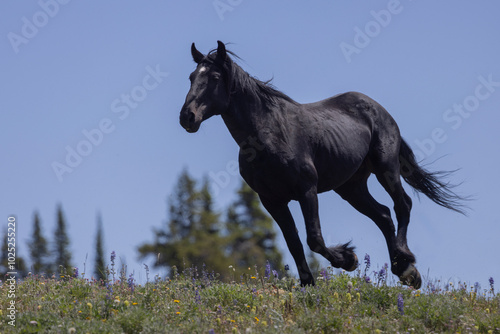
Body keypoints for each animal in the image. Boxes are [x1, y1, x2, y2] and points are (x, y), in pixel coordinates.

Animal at [179, 40, 464, 288]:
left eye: (215, 78)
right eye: (191, 77)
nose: (187, 117)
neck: (268, 136)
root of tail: (379, 110)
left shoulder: (307, 190)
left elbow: (314, 238)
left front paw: (349, 259)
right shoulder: (271, 200)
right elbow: (294, 243)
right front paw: (308, 285)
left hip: (386, 168)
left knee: (402, 204)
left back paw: (407, 268)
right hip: (351, 187)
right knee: (383, 215)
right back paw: (400, 267)